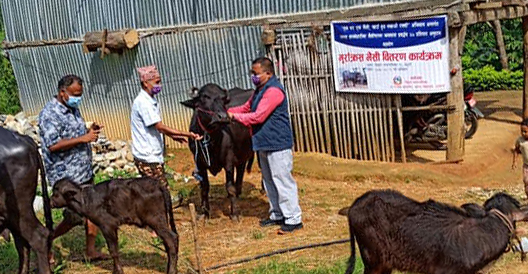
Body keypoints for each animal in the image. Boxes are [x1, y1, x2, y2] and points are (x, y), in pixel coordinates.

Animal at [51, 178, 179, 274]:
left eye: (55, 194)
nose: (50, 202)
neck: (86, 200)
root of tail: (158, 185)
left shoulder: (107, 225)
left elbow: (113, 250)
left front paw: (118, 270)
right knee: (170, 241)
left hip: (155, 220)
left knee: (172, 238)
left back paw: (171, 271)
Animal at [182, 84, 254, 220]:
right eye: (205, 97)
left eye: (223, 99)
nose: (223, 117)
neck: (211, 140)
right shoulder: (199, 163)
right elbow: (204, 188)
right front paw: (204, 213)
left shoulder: (229, 161)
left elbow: (229, 187)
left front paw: (234, 213)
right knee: (241, 171)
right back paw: (239, 192)